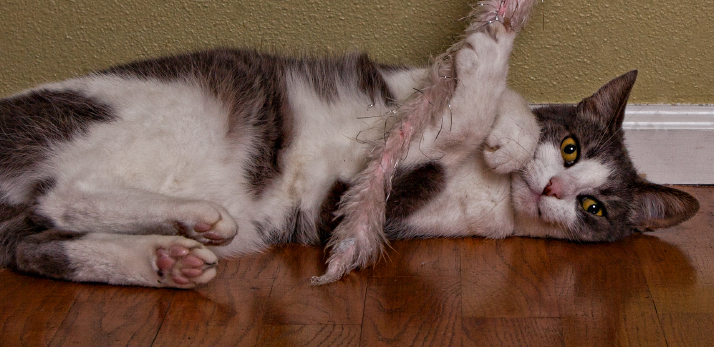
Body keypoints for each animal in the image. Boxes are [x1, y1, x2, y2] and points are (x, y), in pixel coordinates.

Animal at [0, 21, 696, 288]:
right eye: (571, 150)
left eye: (593, 208)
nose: (553, 191)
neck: (487, 192)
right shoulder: (406, 91)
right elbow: (496, 99)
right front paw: (503, 110)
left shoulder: (369, 205)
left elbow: (447, 136)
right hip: (143, 114)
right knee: (54, 202)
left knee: (41, 229)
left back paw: (172, 251)